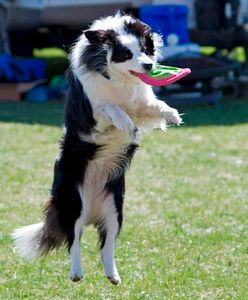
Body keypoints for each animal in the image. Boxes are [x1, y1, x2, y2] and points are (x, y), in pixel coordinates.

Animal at [12, 13, 182, 286]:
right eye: (126, 53)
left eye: (145, 49)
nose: (147, 65)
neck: (118, 78)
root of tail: (91, 213)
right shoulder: (91, 119)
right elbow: (110, 108)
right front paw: (123, 121)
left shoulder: (140, 103)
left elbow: (152, 106)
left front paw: (172, 114)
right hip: (73, 203)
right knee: (74, 241)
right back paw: (76, 272)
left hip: (115, 209)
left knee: (106, 246)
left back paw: (113, 275)